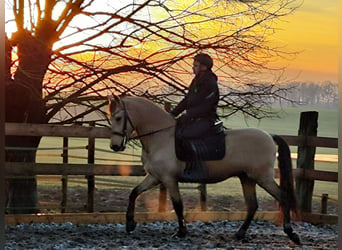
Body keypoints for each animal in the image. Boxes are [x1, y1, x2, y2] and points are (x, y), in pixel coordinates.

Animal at [107, 95, 300, 244]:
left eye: (118, 118)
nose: (115, 146)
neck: (161, 136)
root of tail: (269, 136)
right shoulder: (155, 177)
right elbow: (134, 192)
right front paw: (130, 223)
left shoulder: (169, 179)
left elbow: (178, 205)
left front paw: (181, 232)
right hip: (247, 178)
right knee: (252, 205)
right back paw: (240, 233)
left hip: (262, 177)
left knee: (283, 197)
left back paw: (291, 233)